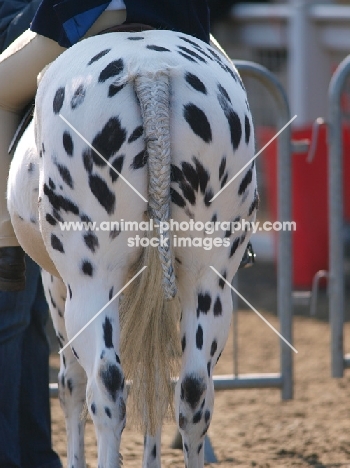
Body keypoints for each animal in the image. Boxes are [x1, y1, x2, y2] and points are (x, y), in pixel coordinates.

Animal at [7, 30, 258, 468]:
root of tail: (150, 72)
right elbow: (154, 378)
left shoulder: (56, 287)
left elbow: (71, 383)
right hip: (208, 284)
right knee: (194, 391)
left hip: (90, 284)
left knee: (105, 387)